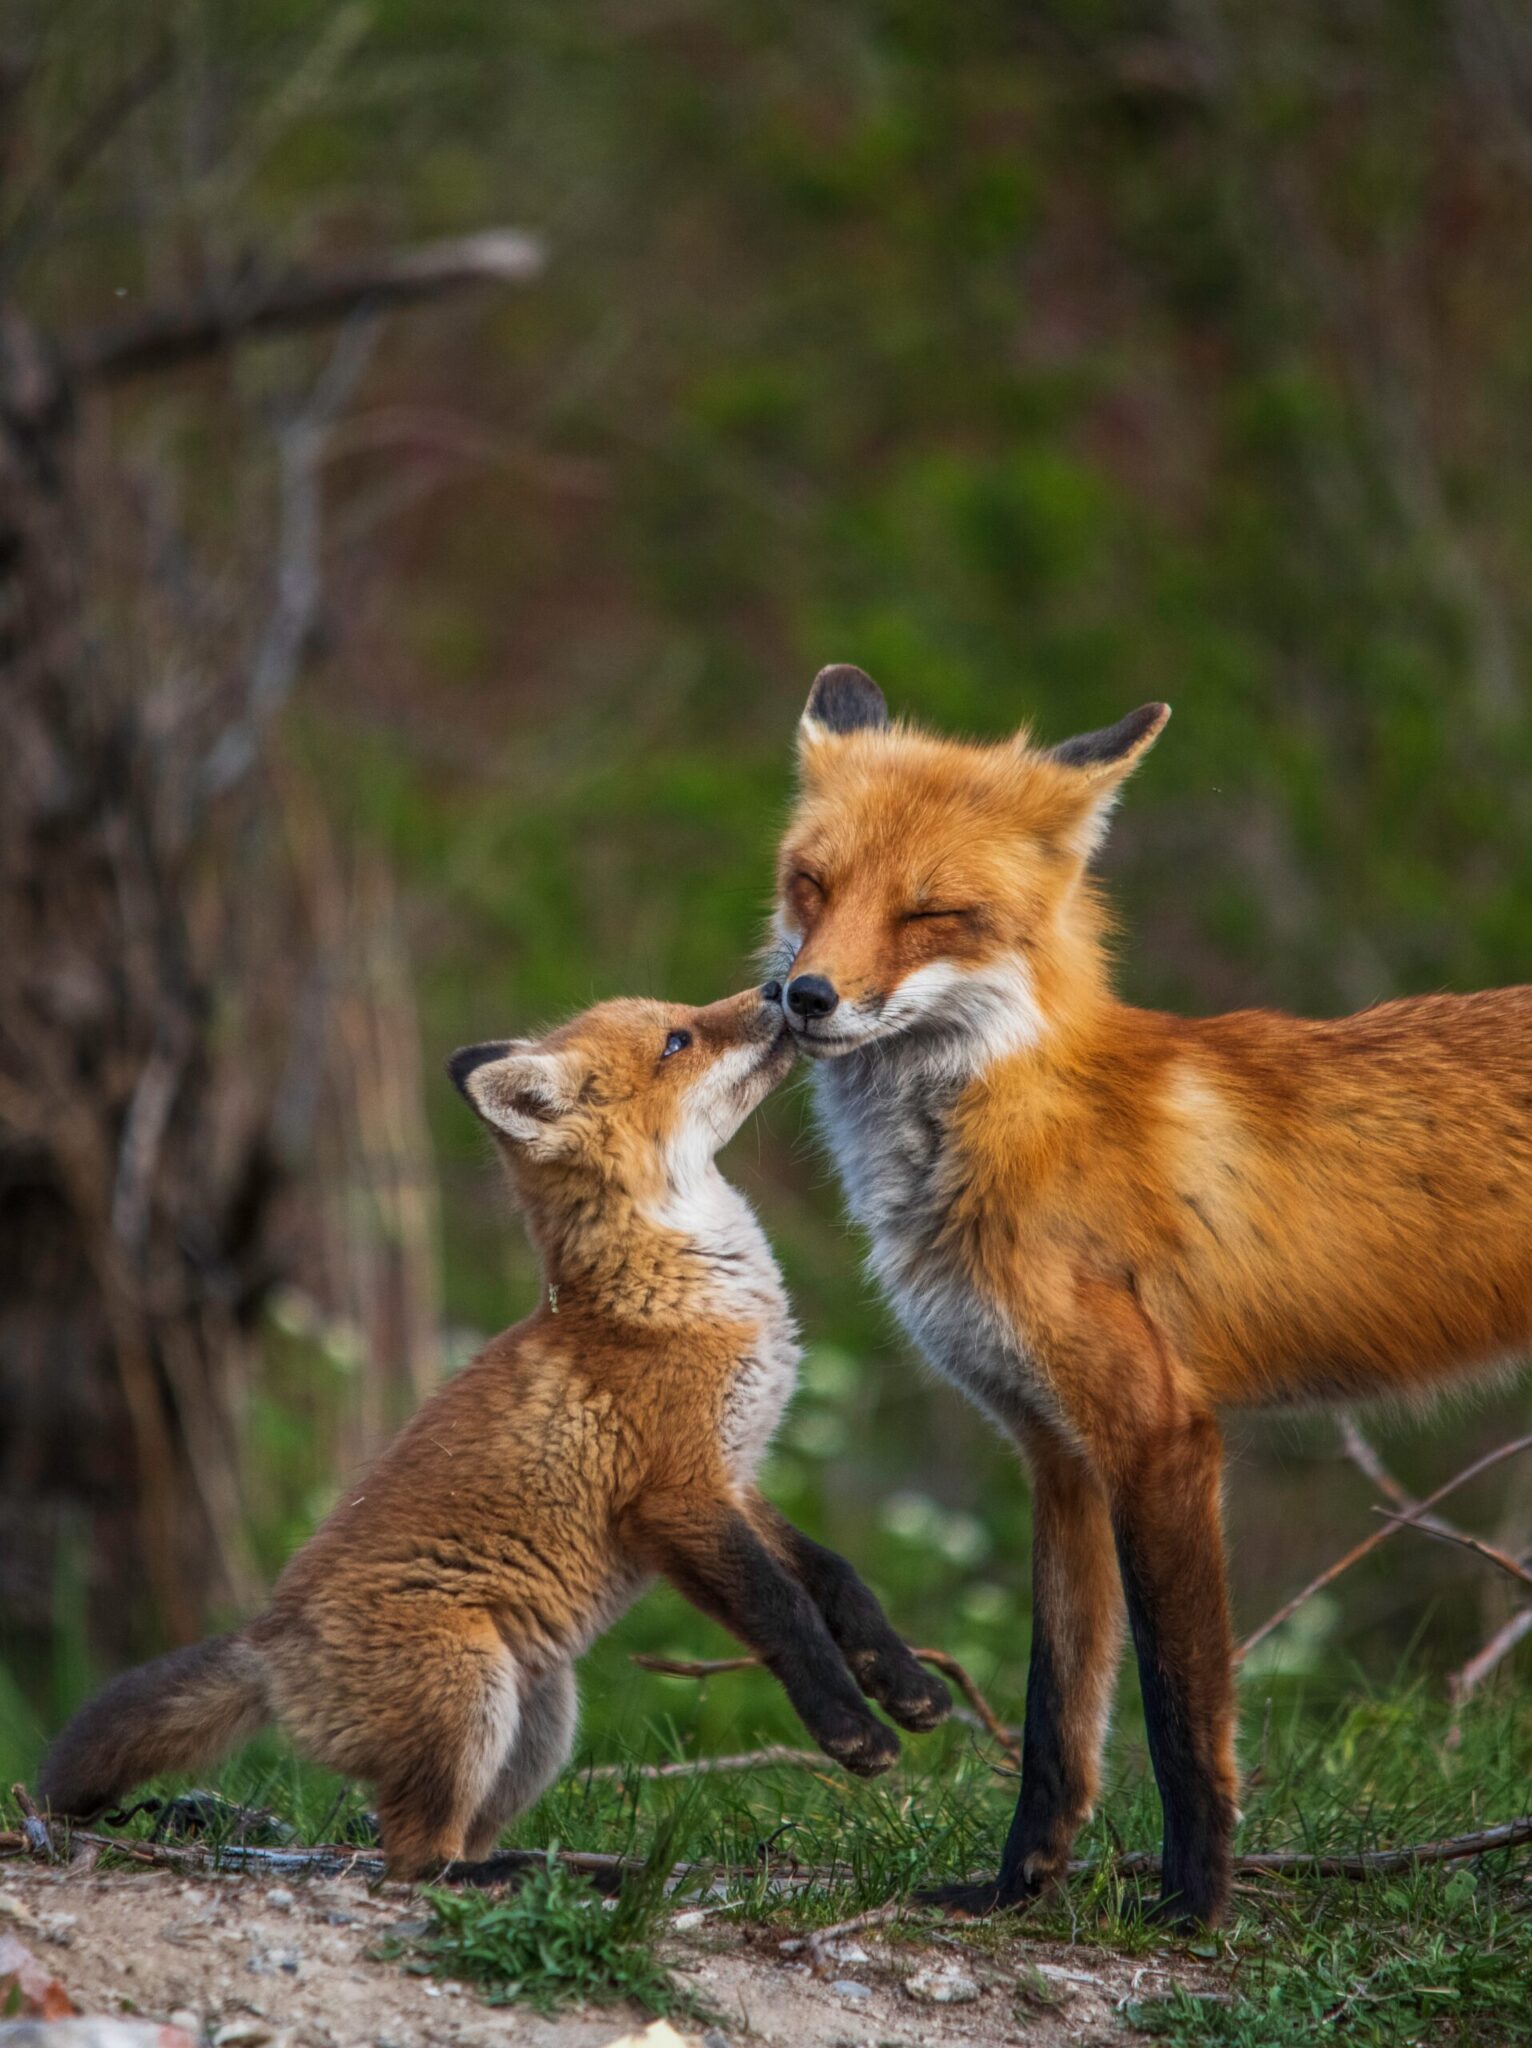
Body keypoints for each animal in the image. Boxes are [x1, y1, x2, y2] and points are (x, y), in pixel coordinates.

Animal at [44, 987, 946, 1875]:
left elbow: (835, 1577)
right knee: (415, 1861)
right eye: (677, 1040)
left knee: (450, 1838)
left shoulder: (734, 1474)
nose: (782, 989)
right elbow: (784, 1610)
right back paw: (515, 1876)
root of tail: (270, 1646)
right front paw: (852, 1730)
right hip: (471, 1691)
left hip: (541, 1718)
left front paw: (904, 1682)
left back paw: (566, 1869)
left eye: (679, 1017)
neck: (676, 1295)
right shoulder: (674, 1499)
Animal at [770, 663, 1532, 1925]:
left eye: (930, 912)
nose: (801, 994)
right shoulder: (1054, 1450)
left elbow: (1181, 1709)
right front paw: (1015, 1889)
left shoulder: (1157, 1429)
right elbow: (1056, 1715)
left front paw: (1194, 1905)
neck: (1016, 1124)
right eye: (811, 882)